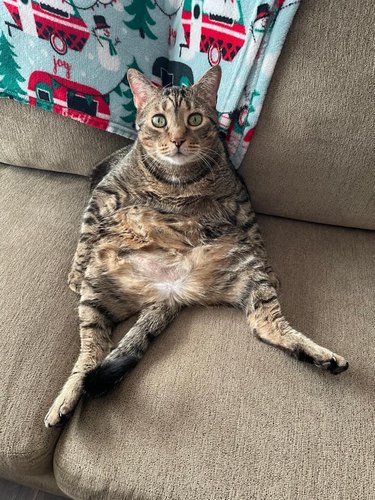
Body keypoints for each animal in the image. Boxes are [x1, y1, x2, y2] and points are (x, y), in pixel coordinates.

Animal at [44, 64, 350, 428]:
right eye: (159, 120)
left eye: (194, 119)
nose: (177, 140)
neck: (177, 180)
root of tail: (170, 293)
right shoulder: (105, 190)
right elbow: (88, 228)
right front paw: (75, 269)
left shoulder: (238, 198)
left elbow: (255, 231)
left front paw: (271, 260)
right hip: (97, 293)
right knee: (90, 354)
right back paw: (67, 397)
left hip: (246, 269)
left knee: (264, 323)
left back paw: (324, 358)